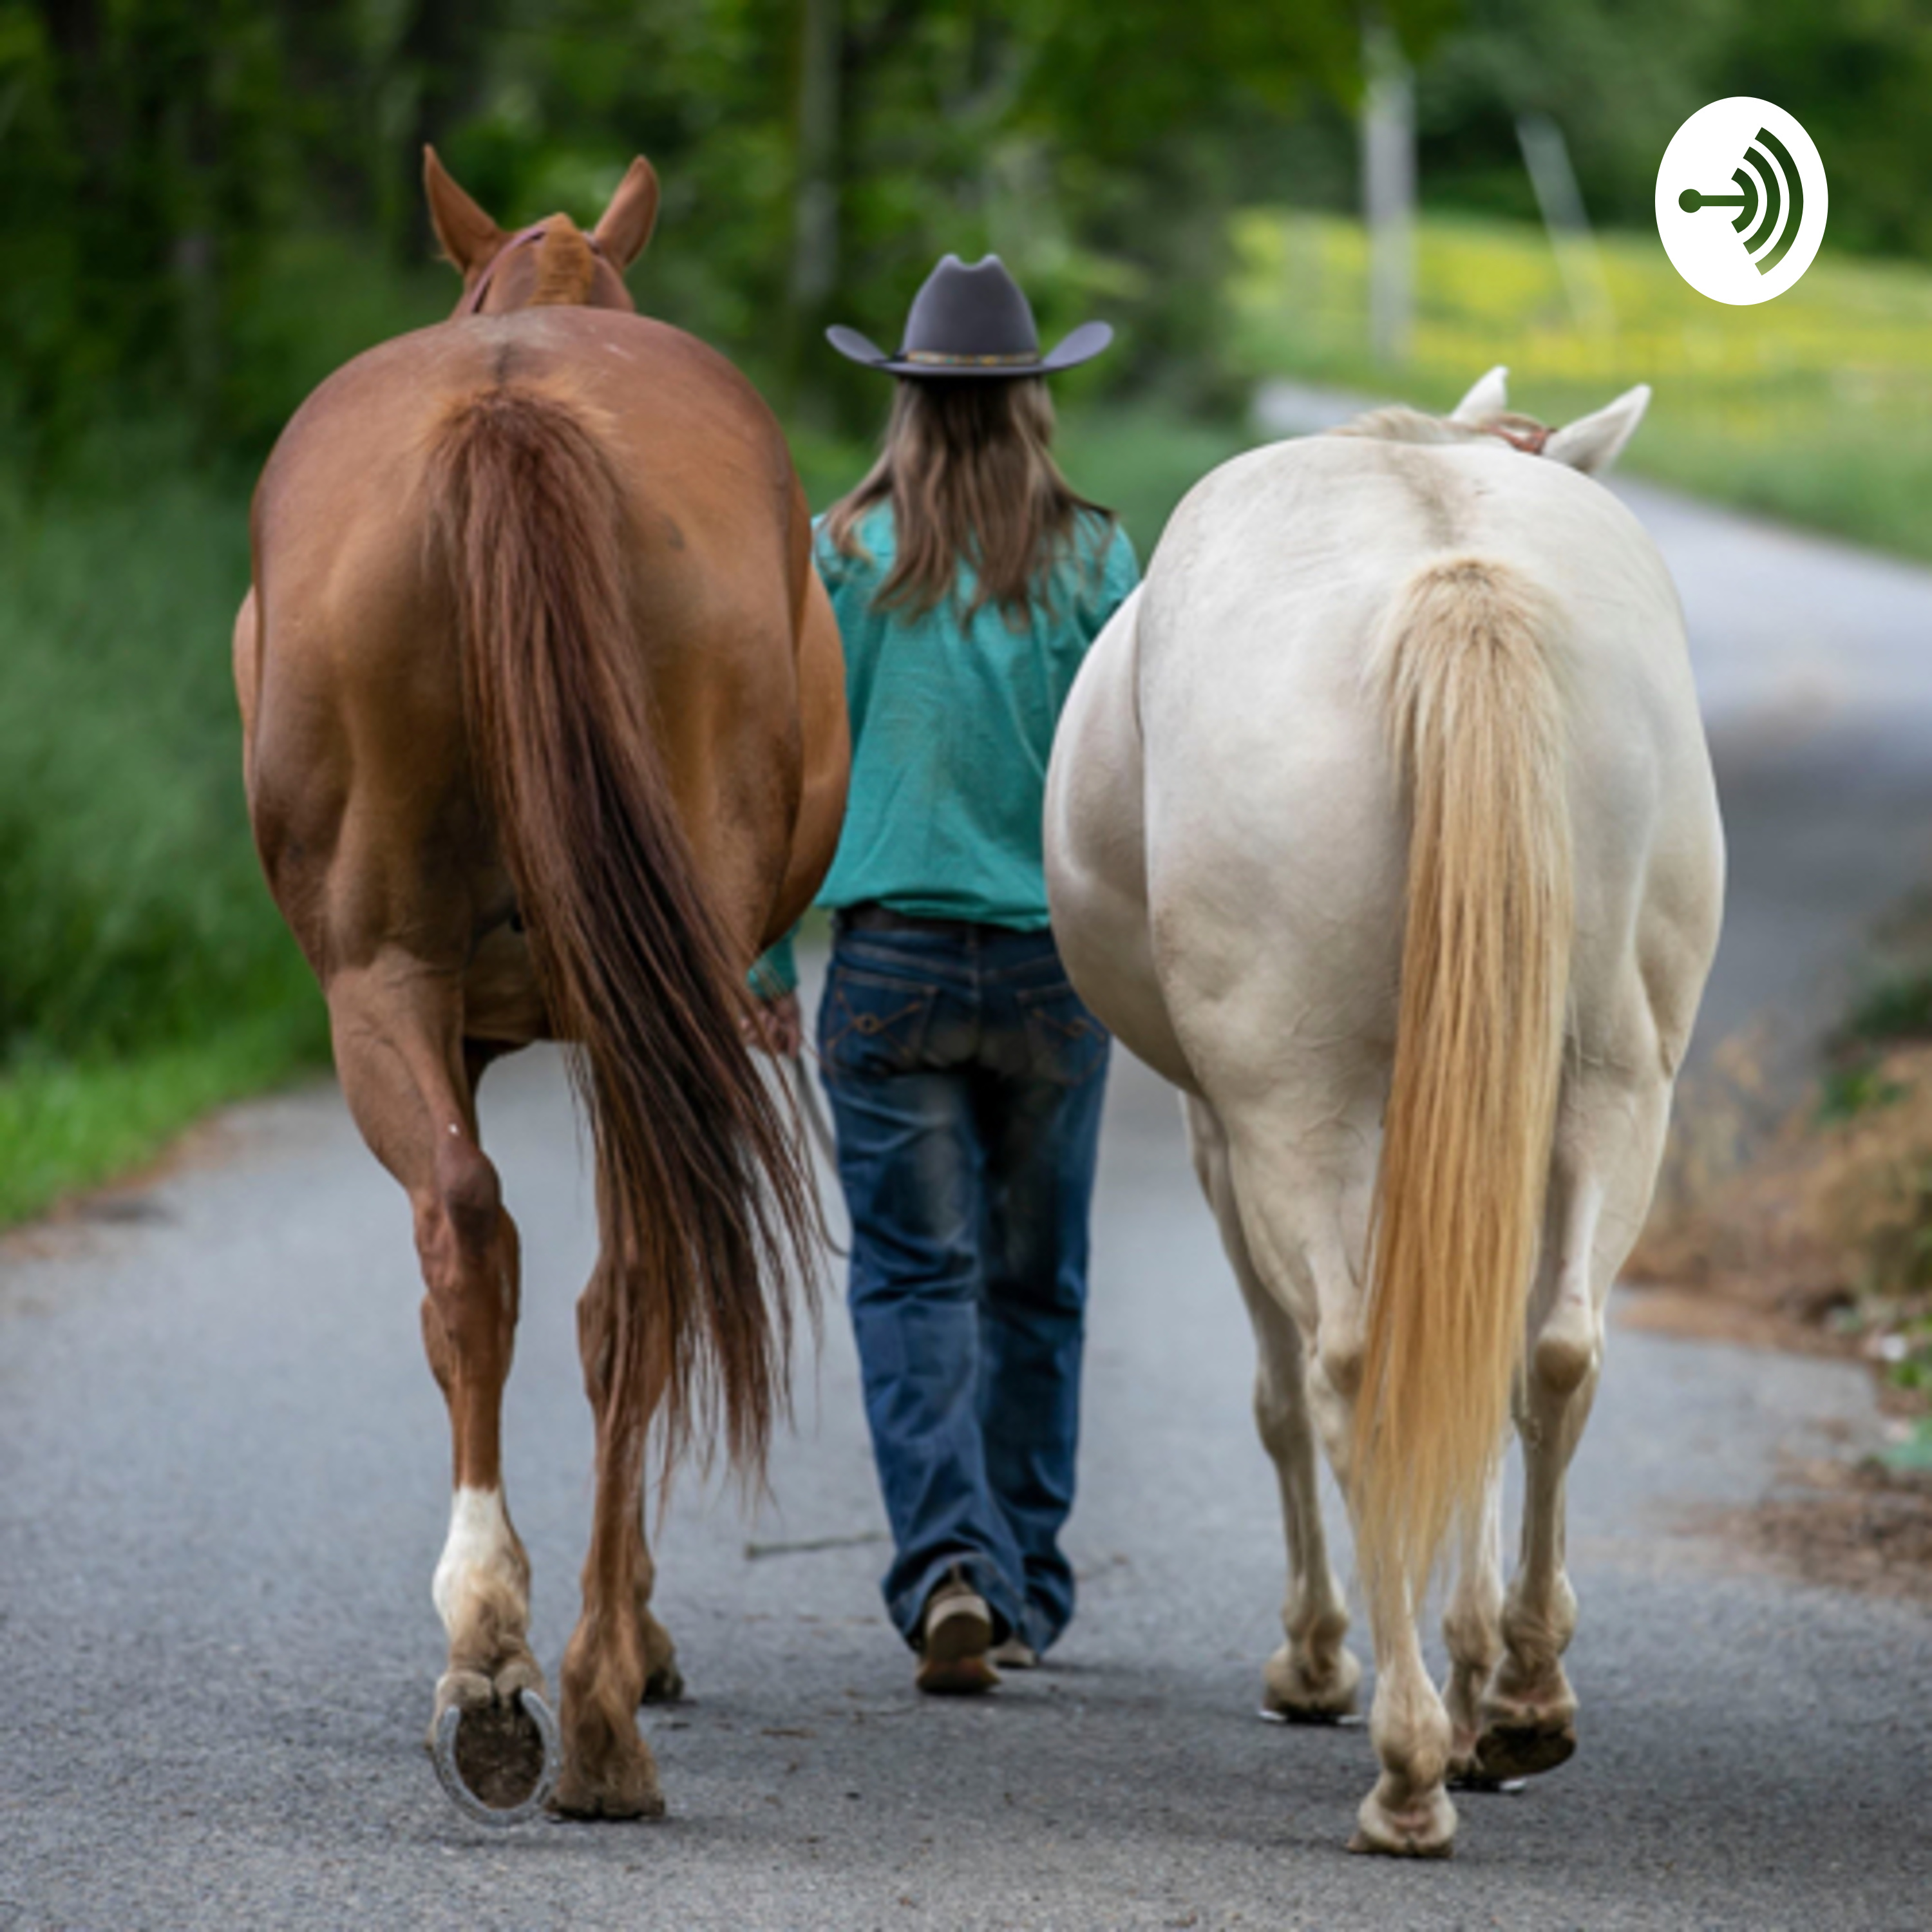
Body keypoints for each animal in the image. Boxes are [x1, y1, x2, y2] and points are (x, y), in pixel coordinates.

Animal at [232, 150, 849, 1823]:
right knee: (599, 1278)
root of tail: (512, 414)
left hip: (392, 981)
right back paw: (574, 1693)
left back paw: (514, 1668)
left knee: (499, 1248)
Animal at [1043, 368, 1723, 1857]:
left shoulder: (1221, 1137)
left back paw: (1407, 1765)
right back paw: (1520, 1696)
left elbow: (1283, 1394)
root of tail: (1452, 575)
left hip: (1292, 1109)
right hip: (1612, 1083)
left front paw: (1320, 1660)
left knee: (1347, 1370)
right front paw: (1482, 1683)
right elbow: (1479, 1369)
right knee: (1555, 1352)